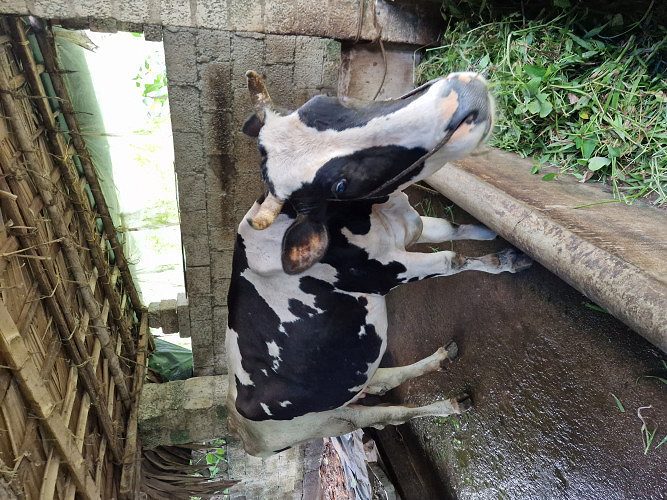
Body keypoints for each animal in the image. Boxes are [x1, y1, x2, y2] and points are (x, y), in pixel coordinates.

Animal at [226, 70, 532, 457]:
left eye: (323, 101)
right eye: (340, 186)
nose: (462, 95)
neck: (375, 214)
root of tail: (240, 429)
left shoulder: (410, 226)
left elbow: (454, 228)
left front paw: (498, 235)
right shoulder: (388, 271)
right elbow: (453, 259)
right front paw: (508, 262)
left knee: (380, 380)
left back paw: (440, 358)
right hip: (332, 421)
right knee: (390, 414)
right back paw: (450, 404)